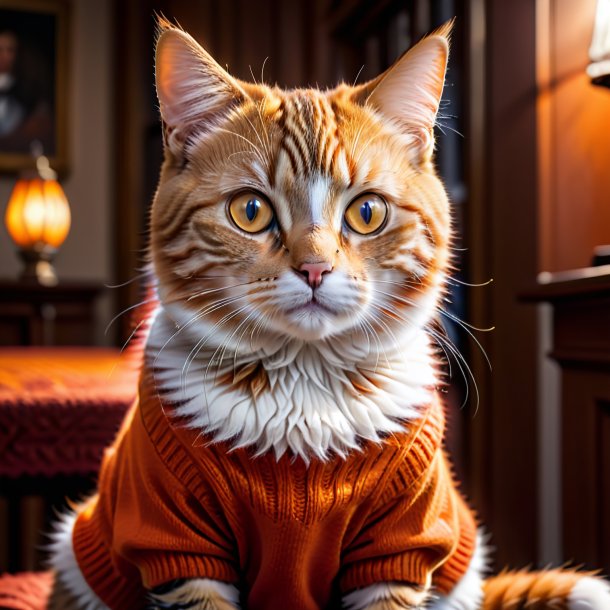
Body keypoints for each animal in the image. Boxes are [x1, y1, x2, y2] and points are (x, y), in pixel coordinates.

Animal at [48, 19, 608, 608]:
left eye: (367, 212)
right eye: (250, 210)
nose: (315, 268)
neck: (304, 391)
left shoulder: (401, 546)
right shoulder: (173, 538)